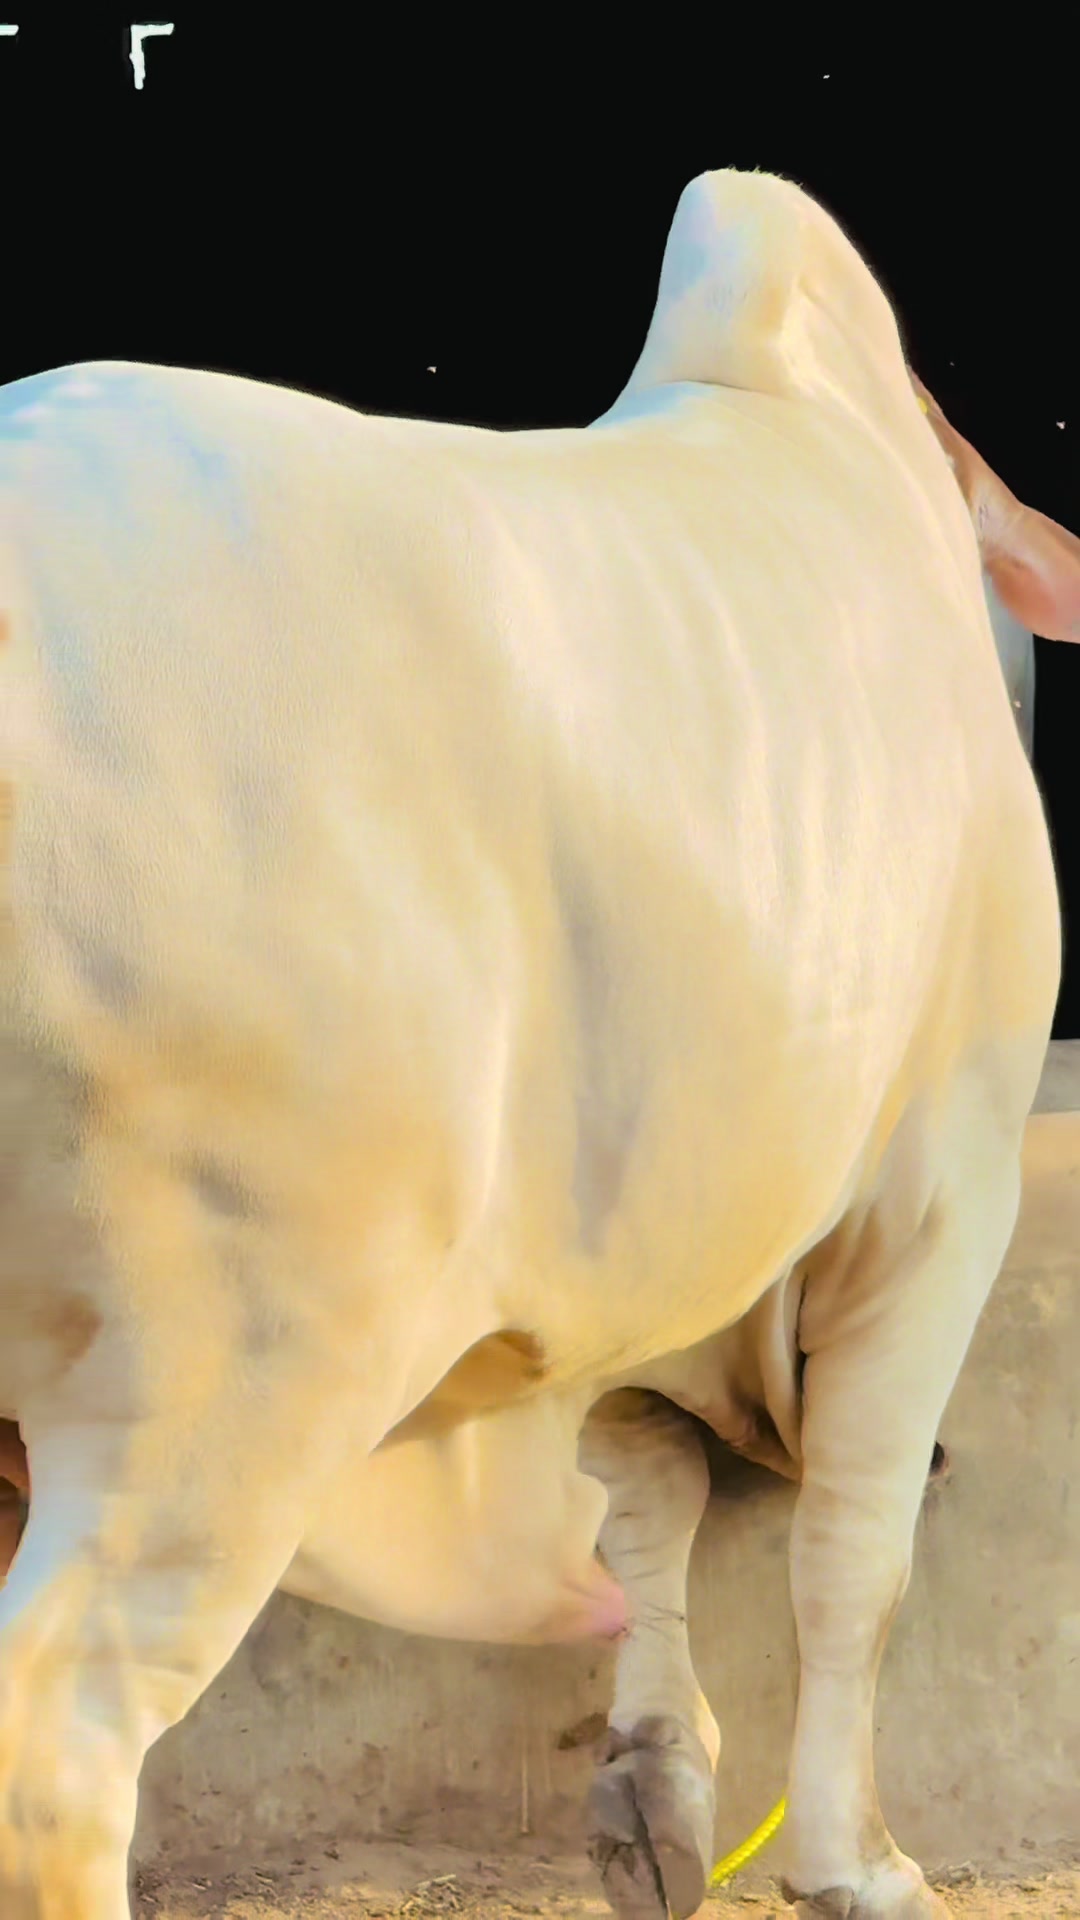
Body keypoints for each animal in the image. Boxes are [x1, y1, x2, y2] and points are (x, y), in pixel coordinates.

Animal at [0, 165, 1078, 1920]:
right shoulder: (941, 1195)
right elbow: (855, 1559)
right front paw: (857, 1862)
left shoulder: (629, 1246)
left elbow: (641, 1499)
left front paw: (656, 1797)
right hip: (234, 1347)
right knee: (63, 1736)